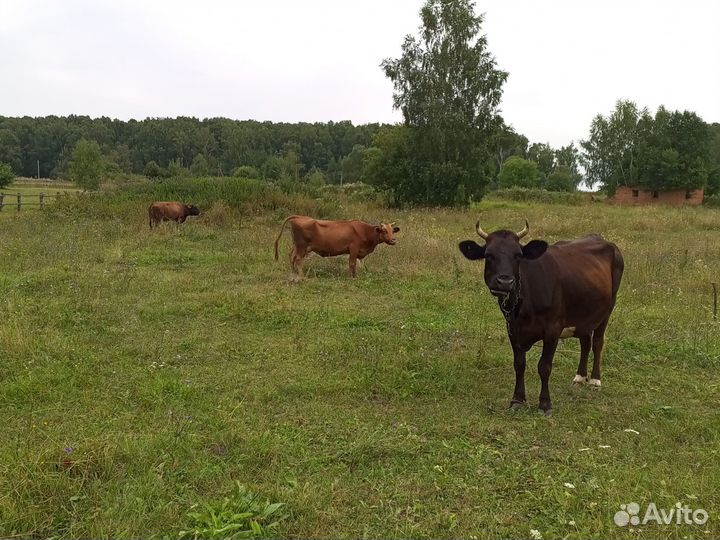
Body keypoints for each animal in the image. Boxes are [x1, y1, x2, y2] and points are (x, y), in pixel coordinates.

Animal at [458, 219, 623, 415]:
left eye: (518, 255)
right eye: (488, 255)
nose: (505, 281)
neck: (522, 305)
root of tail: (603, 240)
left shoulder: (553, 329)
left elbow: (544, 367)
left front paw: (545, 404)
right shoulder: (512, 329)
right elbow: (519, 364)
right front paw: (517, 400)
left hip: (608, 308)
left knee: (597, 342)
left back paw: (595, 380)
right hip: (584, 314)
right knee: (585, 342)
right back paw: (580, 377)